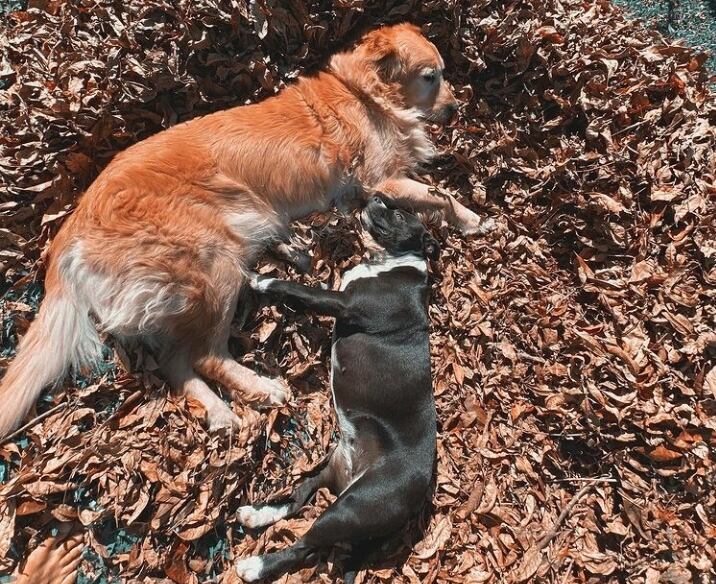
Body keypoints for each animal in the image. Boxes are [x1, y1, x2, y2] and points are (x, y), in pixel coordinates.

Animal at [0, 24, 492, 438]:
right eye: (431, 76)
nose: (456, 108)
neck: (364, 93)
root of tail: (71, 230)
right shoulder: (381, 181)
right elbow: (441, 196)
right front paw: (473, 220)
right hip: (215, 264)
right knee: (204, 355)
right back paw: (261, 388)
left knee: (176, 364)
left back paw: (218, 411)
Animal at [236, 198, 436, 580]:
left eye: (399, 214)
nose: (375, 197)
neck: (389, 261)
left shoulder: (341, 302)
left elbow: (295, 288)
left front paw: (259, 278)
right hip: (330, 472)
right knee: (298, 499)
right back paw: (256, 514)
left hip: (353, 508)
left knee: (304, 546)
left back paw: (255, 565)